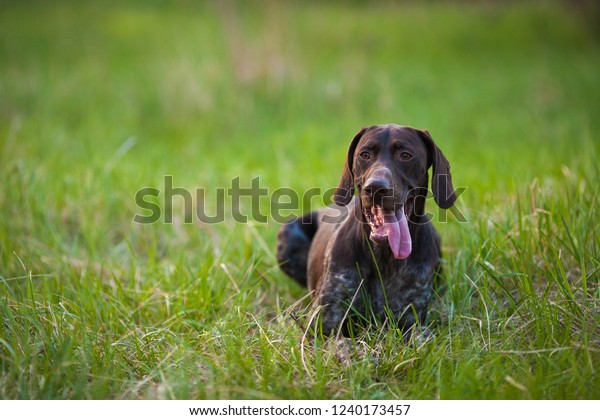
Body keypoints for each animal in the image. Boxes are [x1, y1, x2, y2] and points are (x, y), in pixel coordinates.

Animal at [276, 123, 454, 336]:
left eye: (405, 155)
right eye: (365, 154)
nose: (376, 187)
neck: (383, 258)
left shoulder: (412, 322)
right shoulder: (323, 324)